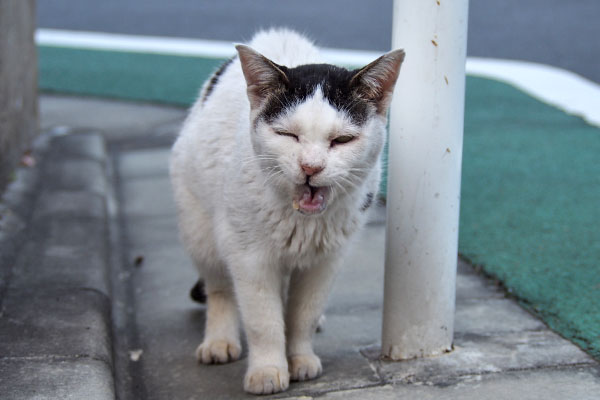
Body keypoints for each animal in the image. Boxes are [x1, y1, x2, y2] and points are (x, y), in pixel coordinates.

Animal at [169, 27, 404, 394]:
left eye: (342, 140)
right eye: (287, 134)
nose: (311, 167)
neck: (302, 222)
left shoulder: (327, 260)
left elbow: (303, 313)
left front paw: (300, 358)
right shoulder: (248, 257)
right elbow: (262, 320)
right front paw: (268, 370)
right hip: (200, 230)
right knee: (219, 289)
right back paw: (219, 341)